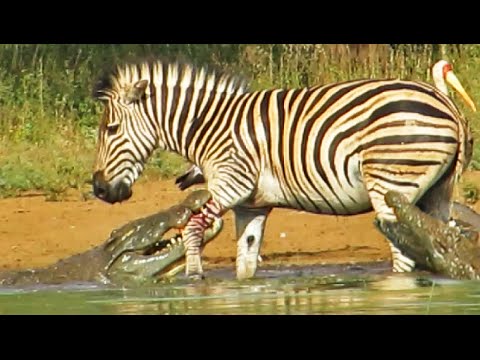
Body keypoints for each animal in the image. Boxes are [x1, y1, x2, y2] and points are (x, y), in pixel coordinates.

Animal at [92, 58, 474, 278]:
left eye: (111, 129)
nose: (98, 189)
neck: (210, 126)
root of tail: (446, 102)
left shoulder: (231, 183)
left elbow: (191, 230)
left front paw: (194, 280)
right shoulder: (251, 205)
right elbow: (245, 263)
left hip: (391, 183)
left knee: (405, 254)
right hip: (438, 192)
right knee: (440, 243)